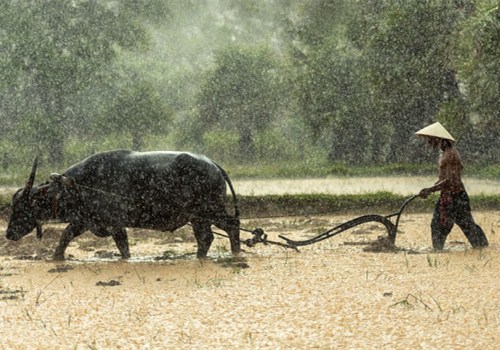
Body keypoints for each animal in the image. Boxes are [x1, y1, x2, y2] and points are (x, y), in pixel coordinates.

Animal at [5, 149, 240, 262]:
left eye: (23, 207)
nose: (8, 233)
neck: (79, 185)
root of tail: (213, 164)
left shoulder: (115, 224)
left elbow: (123, 247)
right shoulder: (84, 220)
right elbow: (65, 236)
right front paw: (56, 258)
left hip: (210, 210)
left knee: (231, 225)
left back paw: (235, 253)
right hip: (198, 217)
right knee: (206, 237)